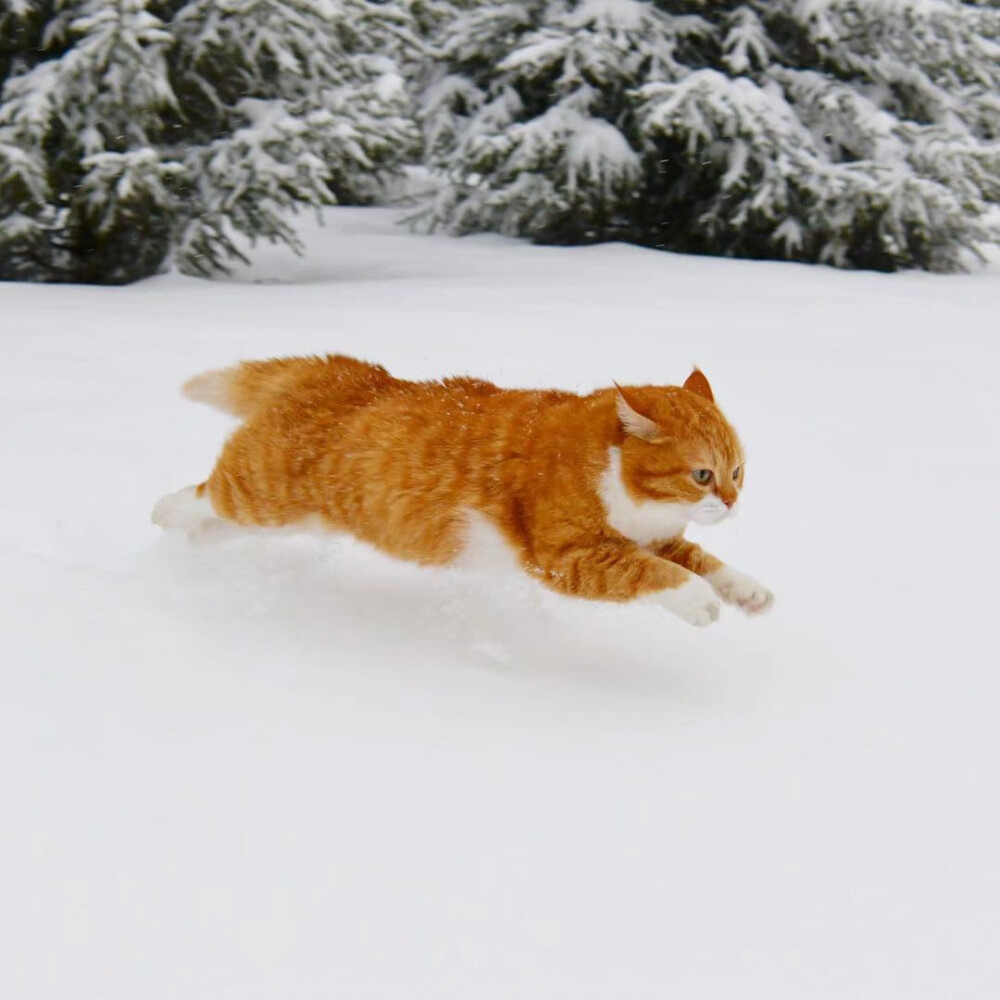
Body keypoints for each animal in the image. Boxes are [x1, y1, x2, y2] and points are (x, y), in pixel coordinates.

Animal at [152, 354, 772, 624]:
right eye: (702, 474)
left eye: (738, 472)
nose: (732, 502)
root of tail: (344, 368)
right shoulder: (567, 557)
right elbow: (654, 573)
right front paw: (699, 600)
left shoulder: (658, 537)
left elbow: (700, 558)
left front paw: (746, 591)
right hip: (264, 492)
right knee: (205, 494)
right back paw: (163, 512)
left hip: (295, 517)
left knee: (214, 523)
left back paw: (192, 540)